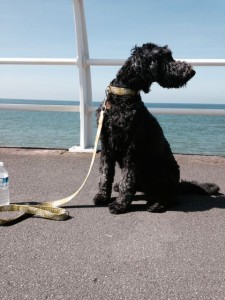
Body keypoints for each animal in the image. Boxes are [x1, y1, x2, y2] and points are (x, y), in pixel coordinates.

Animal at [93, 43, 220, 214]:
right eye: (166, 57)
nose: (192, 71)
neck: (122, 97)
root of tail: (177, 184)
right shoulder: (106, 145)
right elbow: (104, 173)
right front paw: (102, 196)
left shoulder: (132, 149)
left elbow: (127, 178)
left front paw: (120, 204)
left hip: (160, 170)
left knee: (171, 197)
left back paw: (157, 204)